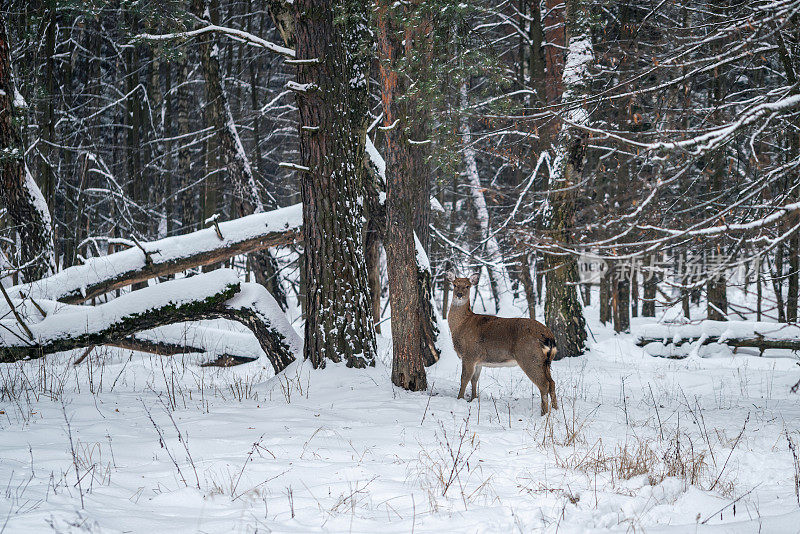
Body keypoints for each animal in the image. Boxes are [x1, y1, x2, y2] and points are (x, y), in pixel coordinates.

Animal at [446, 274, 560, 416]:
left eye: (467, 286)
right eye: (455, 284)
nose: (459, 294)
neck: (461, 325)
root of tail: (549, 336)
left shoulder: (469, 354)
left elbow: (464, 379)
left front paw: (459, 399)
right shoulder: (478, 360)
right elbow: (474, 380)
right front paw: (473, 399)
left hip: (529, 357)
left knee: (544, 384)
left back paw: (543, 414)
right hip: (546, 361)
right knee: (552, 383)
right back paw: (556, 410)